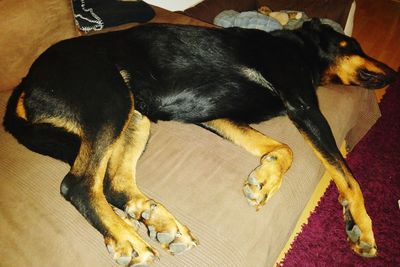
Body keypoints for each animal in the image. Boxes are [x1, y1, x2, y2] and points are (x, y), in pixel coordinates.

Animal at [3, 19, 396, 266]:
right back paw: (130, 240)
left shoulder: (216, 116)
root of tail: (26, 82)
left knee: (112, 183)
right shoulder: (304, 107)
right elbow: (348, 176)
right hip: (110, 100)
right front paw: (363, 226)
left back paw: (157, 220)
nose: (394, 72)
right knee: (79, 184)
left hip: (135, 117)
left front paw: (265, 180)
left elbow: (282, 149)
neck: (300, 49)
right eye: (355, 45)